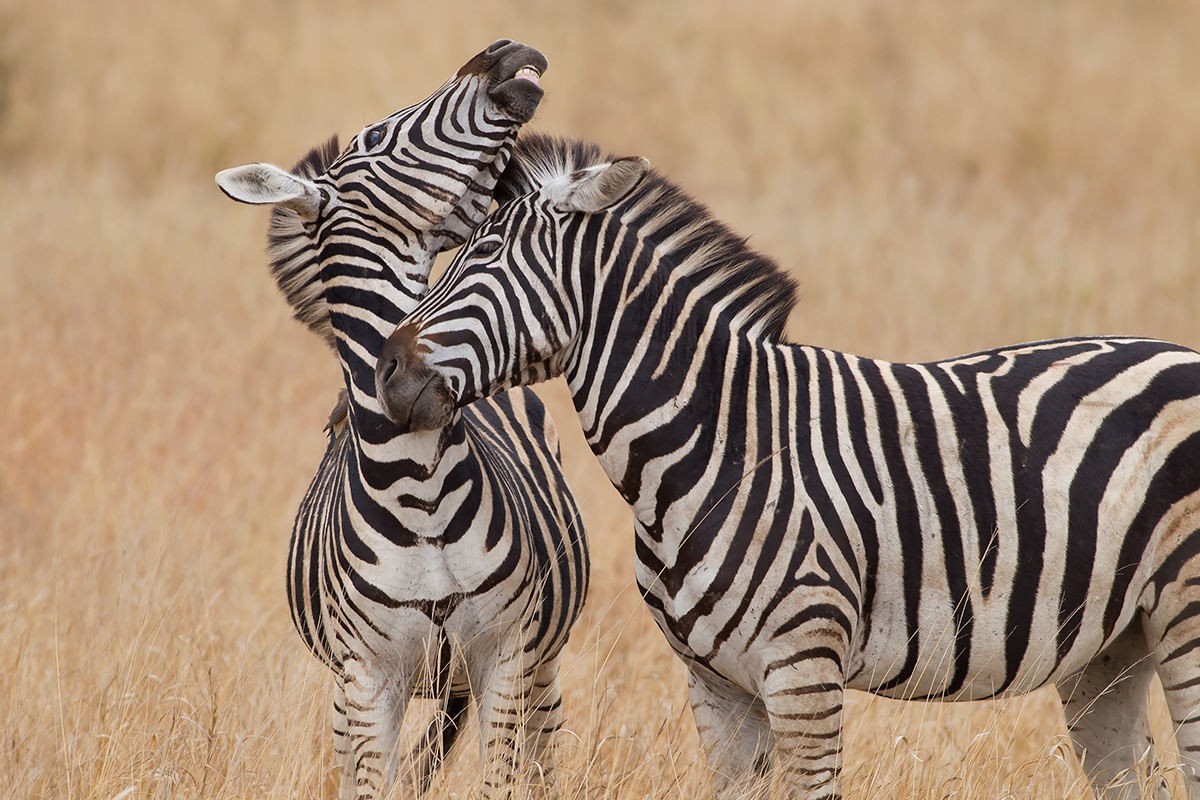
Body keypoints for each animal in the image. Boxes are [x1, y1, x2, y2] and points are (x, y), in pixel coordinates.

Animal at [218, 47, 592, 796]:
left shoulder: (505, 656)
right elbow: (373, 783)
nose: (509, 53)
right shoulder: (367, 678)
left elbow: (501, 781)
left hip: (543, 665)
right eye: (377, 138)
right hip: (351, 691)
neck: (421, 487)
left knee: (542, 761)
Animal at [372, 133, 1200, 800]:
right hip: (1112, 646)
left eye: (483, 253)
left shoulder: (804, 672)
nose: (384, 371)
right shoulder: (715, 688)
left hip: (1184, 621)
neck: (718, 446)